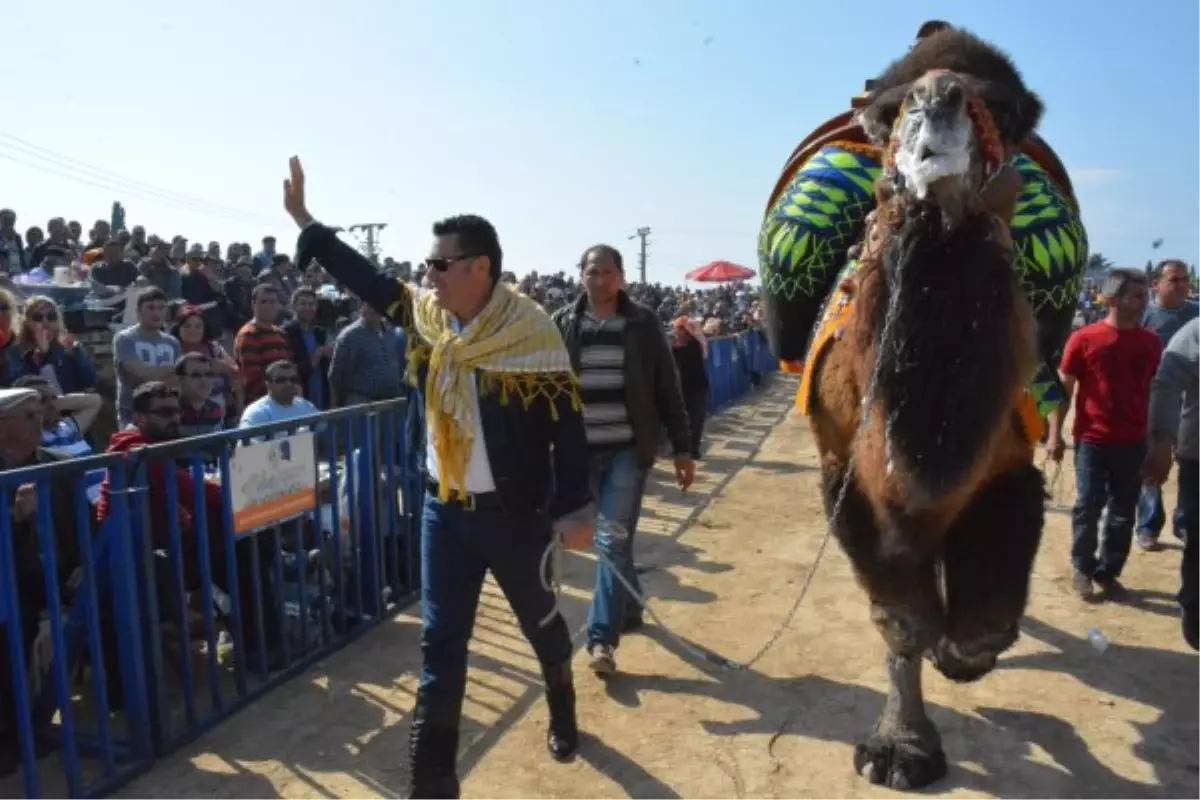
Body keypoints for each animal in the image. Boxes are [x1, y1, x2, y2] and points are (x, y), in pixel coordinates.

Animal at [796, 29, 1060, 786]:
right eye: (891, 112)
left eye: (1001, 109)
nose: (935, 101)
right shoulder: (844, 473)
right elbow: (902, 621)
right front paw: (901, 749)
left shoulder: (1009, 467)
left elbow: (978, 631)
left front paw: (956, 660)